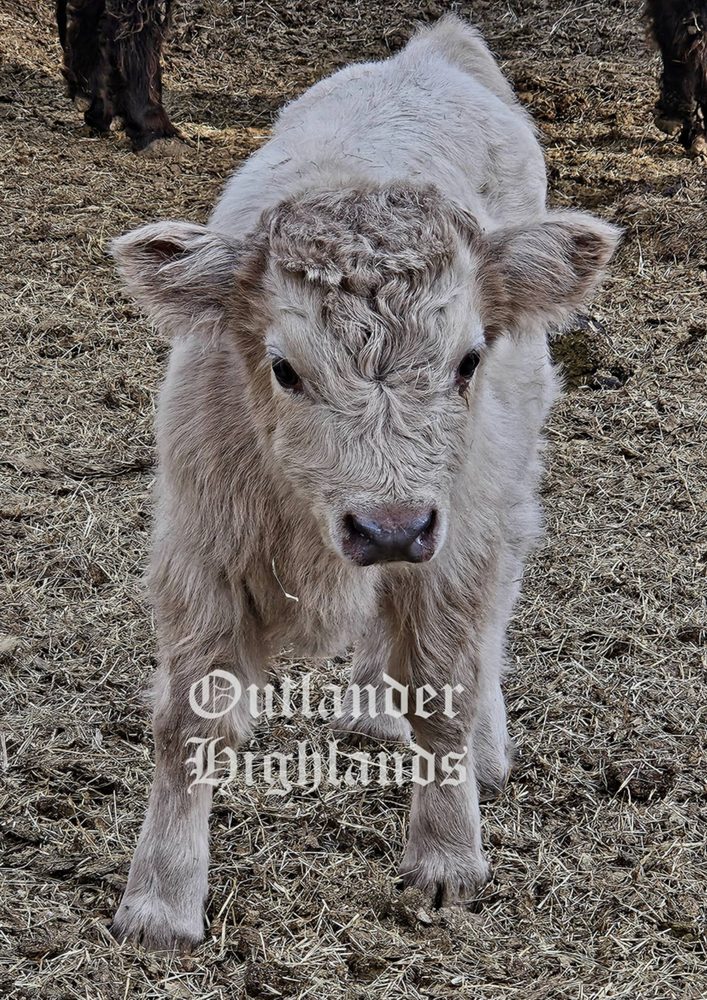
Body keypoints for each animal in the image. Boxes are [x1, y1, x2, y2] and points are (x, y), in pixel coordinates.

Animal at [109, 14, 619, 950]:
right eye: (284, 367)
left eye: (467, 359)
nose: (388, 526)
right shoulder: (201, 544)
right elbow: (189, 718)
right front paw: (160, 900)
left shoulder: (454, 540)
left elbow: (445, 687)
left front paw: (447, 857)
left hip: (499, 493)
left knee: (488, 620)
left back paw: (483, 749)